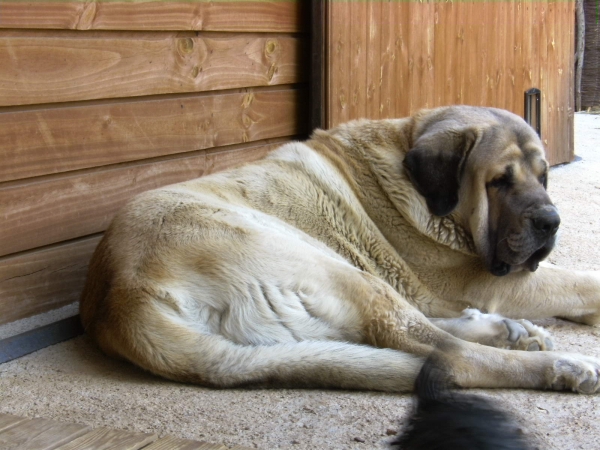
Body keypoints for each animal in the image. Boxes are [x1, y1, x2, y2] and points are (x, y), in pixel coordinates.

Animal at [79, 105, 600, 394]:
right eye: (498, 182)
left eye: (544, 177)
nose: (551, 221)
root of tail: (120, 299)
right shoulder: (491, 279)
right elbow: (578, 281)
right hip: (321, 260)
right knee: (443, 351)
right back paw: (563, 365)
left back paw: (508, 332)